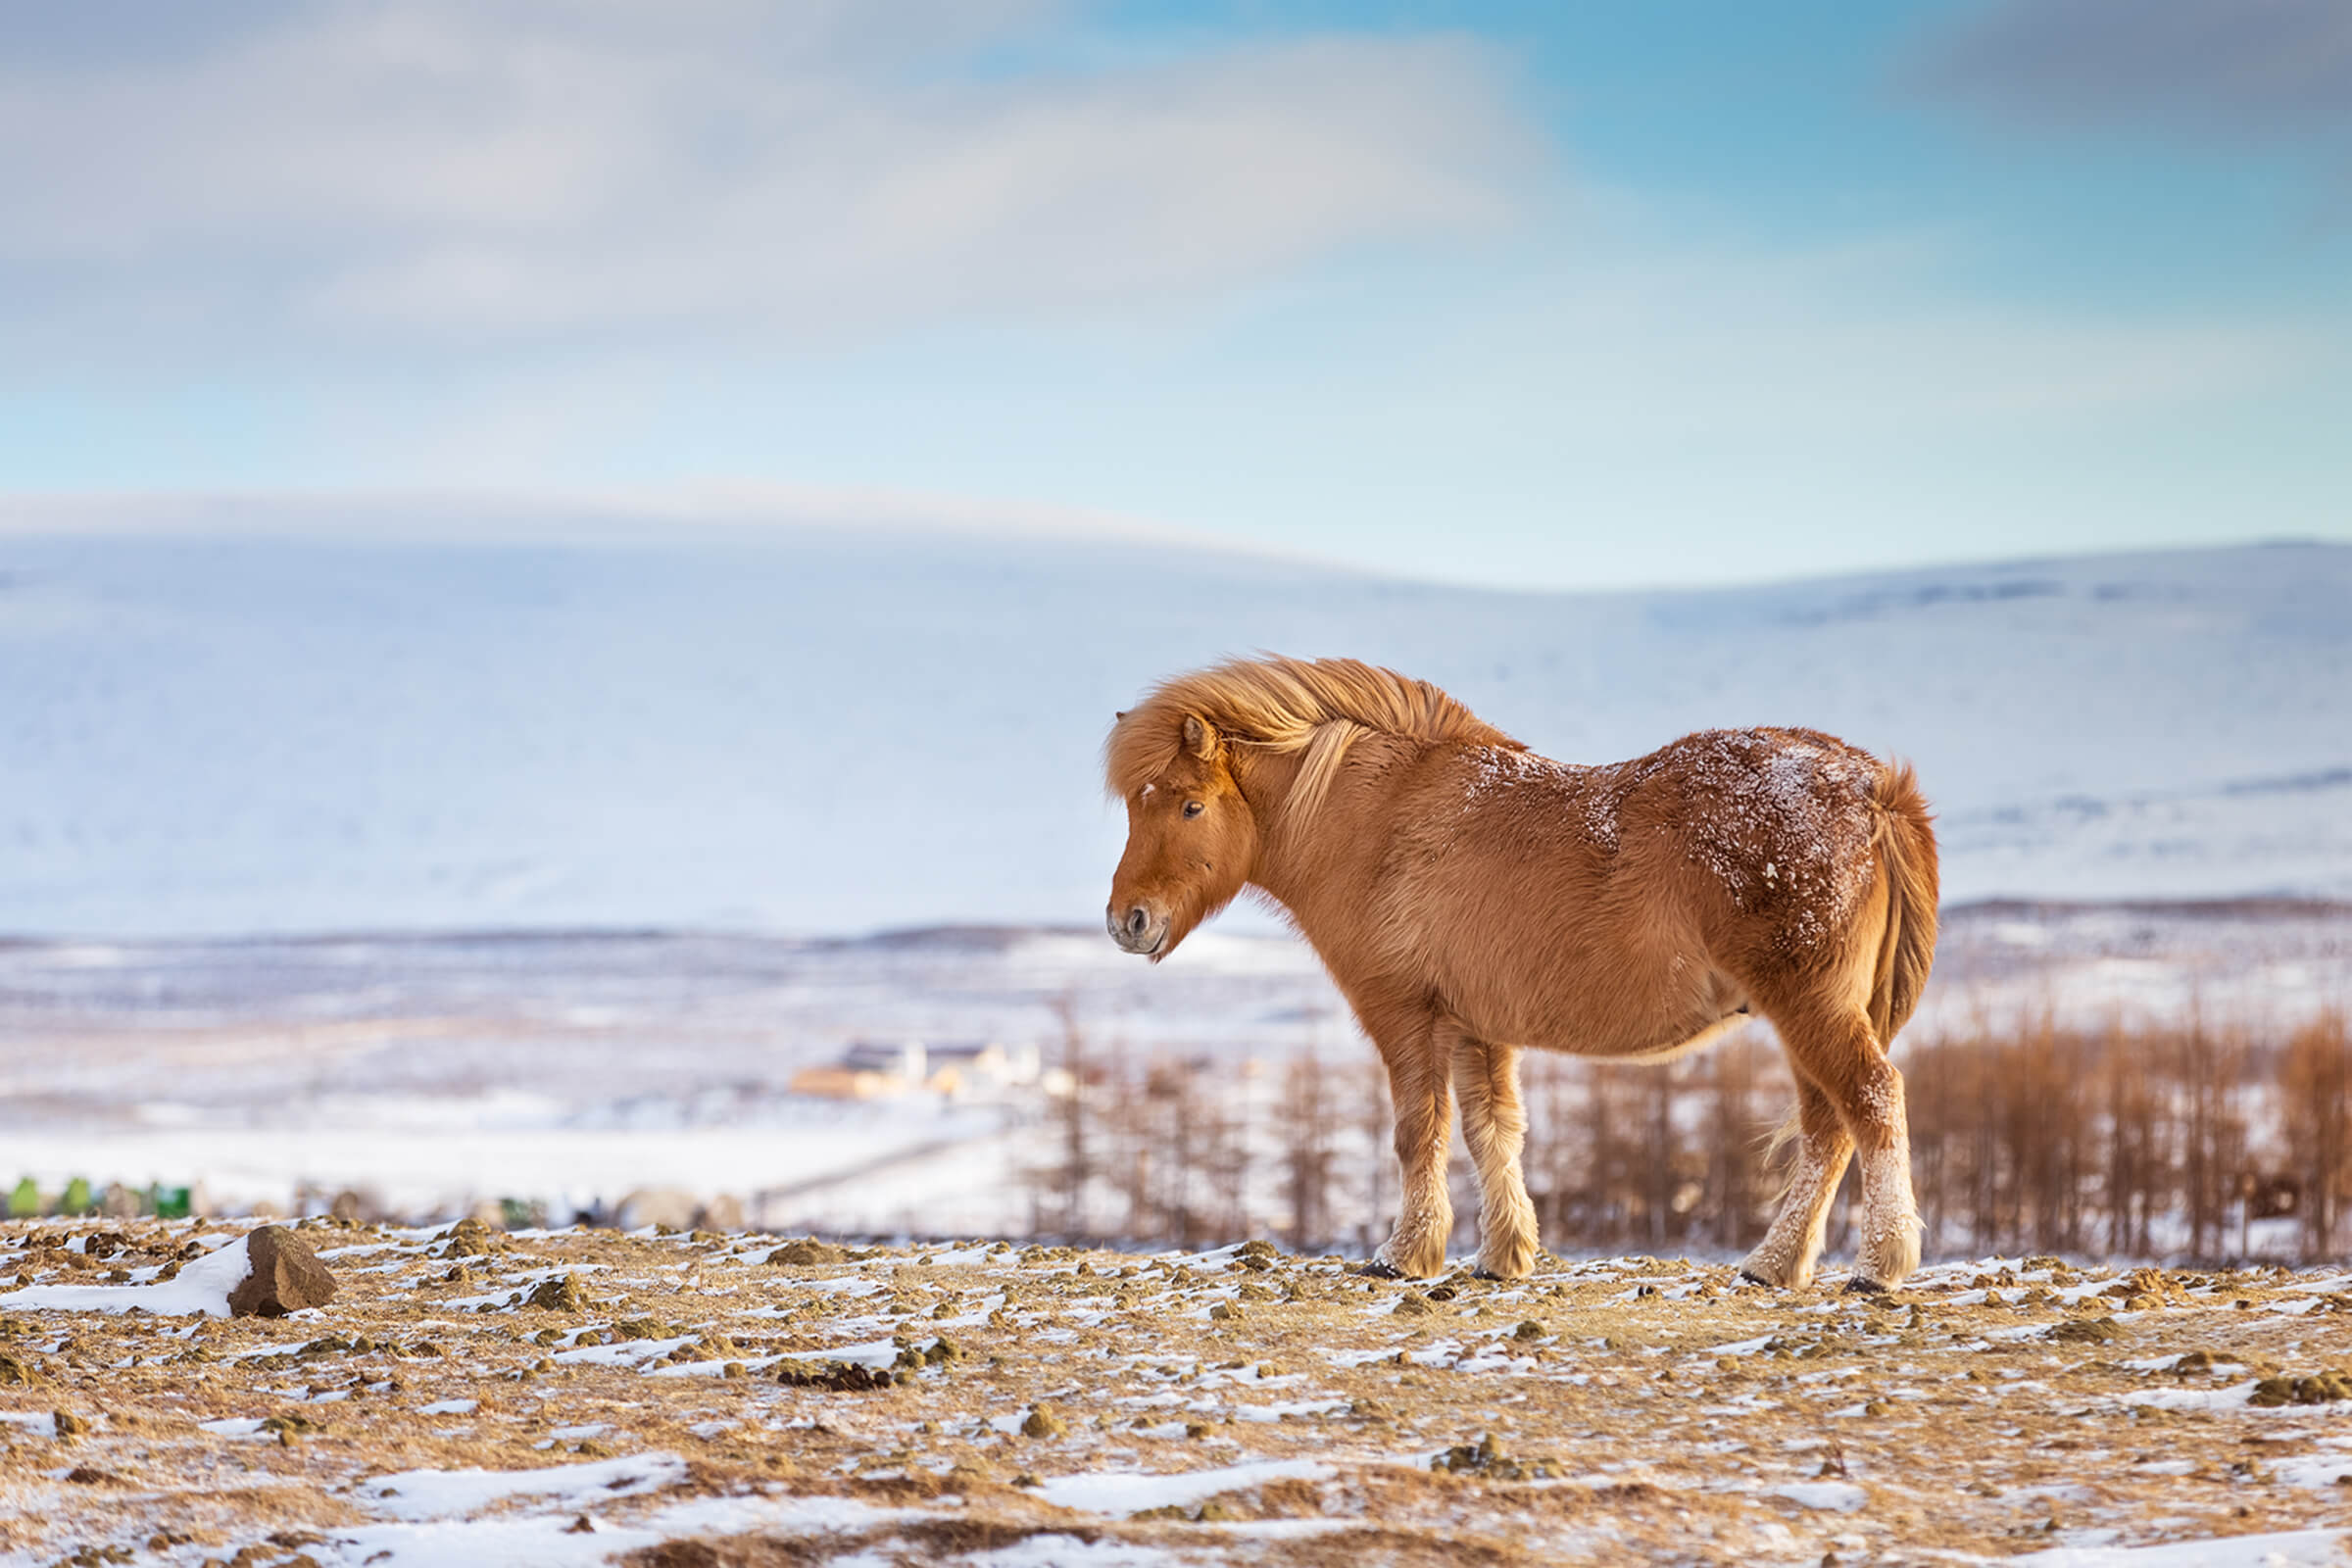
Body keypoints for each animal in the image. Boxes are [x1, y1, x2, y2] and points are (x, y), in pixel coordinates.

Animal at [1102, 655, 1938, 1290]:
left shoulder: (1402, 1014)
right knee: (1828, 1128)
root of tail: (1875, 791)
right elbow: (1492, 1131)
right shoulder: (1477, 1026)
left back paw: (1878, 1265)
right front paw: (1503, 1256)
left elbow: (1419, 1131)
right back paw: (1775, 1264)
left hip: (1808, 1005)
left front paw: (1403, 1255)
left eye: (1189, 805)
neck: (1378, 820)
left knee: (1871, 1101)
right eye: (1136, 807)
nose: (1126, 921)